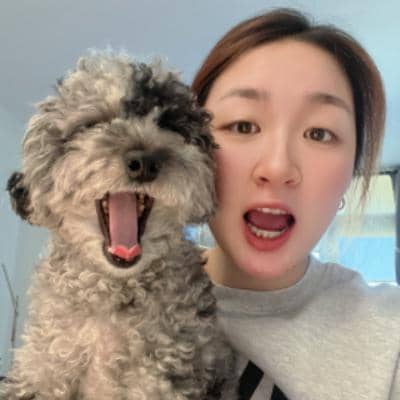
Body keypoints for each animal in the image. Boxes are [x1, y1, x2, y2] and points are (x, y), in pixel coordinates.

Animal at [1, 52, 236, 399]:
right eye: (92, 124)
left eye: (170, 124)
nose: (145, 162)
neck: (112, 290)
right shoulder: (42, 366)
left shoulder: (164, 377)